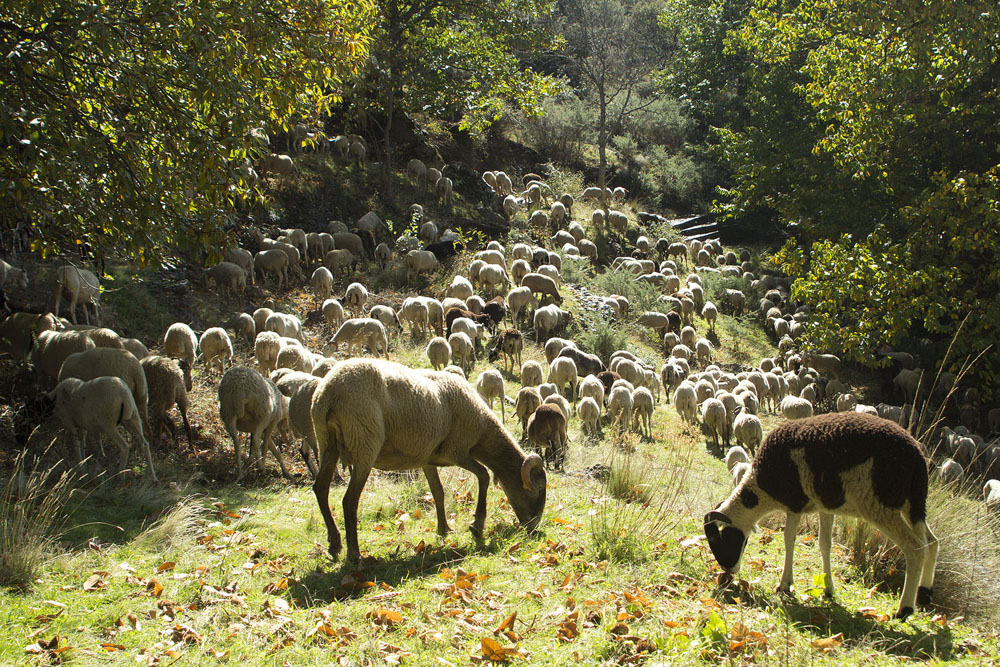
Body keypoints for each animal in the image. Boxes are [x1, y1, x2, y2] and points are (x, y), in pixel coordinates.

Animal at [310, 358, 548, 560]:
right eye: (536, 489)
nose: (533, 527)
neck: (482, 430)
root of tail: (329, 392)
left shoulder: (428, 458)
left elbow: (438, 492)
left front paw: (444, 529)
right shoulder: (456, 451)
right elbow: (483, 476)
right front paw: (477, 525)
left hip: (327, 443)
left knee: (320, 488)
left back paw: (335, 544)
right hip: (364, 443)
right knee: (349, 500)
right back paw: (354, 554)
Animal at [704, 412, 936, 620]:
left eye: (720, 540)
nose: (727, 571)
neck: (760, 488)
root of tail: (917, 457)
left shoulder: (794, 504)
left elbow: (789, 540)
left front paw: (785, 584)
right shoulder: (825, 507)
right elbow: (825, 544)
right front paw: (828, 589)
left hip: (882, 504)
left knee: (916, 548)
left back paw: (904, 610)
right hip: (914, 504)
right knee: (932, 542)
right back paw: (924, 593)